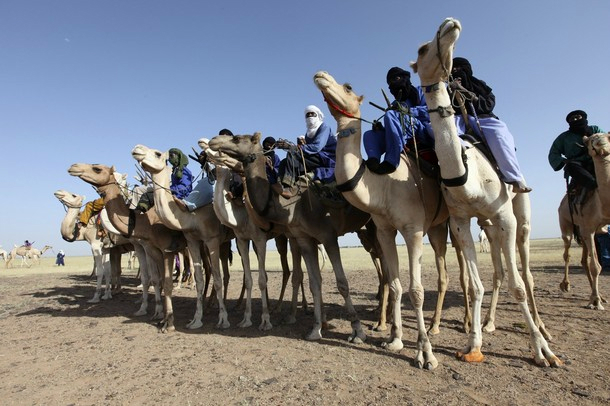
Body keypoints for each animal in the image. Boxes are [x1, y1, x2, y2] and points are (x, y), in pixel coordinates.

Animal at [129, 146, 234, 330]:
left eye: (157, 153)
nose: (137, 149)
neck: (192, 215)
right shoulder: (192, 241)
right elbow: (199, 278)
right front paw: (196, 320)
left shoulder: (212, 239)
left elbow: (217, 278)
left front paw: (223, 320)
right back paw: (210, 305)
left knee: (225, 275)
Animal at [208, 134, 370, 342]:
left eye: (236, 138)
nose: (213, 140)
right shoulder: (303, 238)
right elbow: (314, 282)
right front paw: (316, 328)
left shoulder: (327, 236)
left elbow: (342, 283)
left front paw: (357, 330)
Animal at [410, 15, 560, 366]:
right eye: (422, 49)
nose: (449, 23)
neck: (466, 177)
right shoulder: (462, 221)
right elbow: (477, 285)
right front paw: (472, 344)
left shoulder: (504, 216)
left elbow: (519, 287)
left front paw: (541, 351)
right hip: (488, 227)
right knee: (498, 273)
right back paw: (490, 323)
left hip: (519, 216)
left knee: (526, 274)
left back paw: (544, 331)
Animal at [556, 132, 608, 308]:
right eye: (591, 141)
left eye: (608, 137)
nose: (600, 144)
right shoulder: (589, 229)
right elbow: (596, 266)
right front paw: (596, 302)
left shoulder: (592, 230)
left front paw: (596, 298)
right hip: (566, 224)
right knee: (567, 252)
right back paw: (565, 284)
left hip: (583, 230)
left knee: (584, 260)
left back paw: (600, 296)